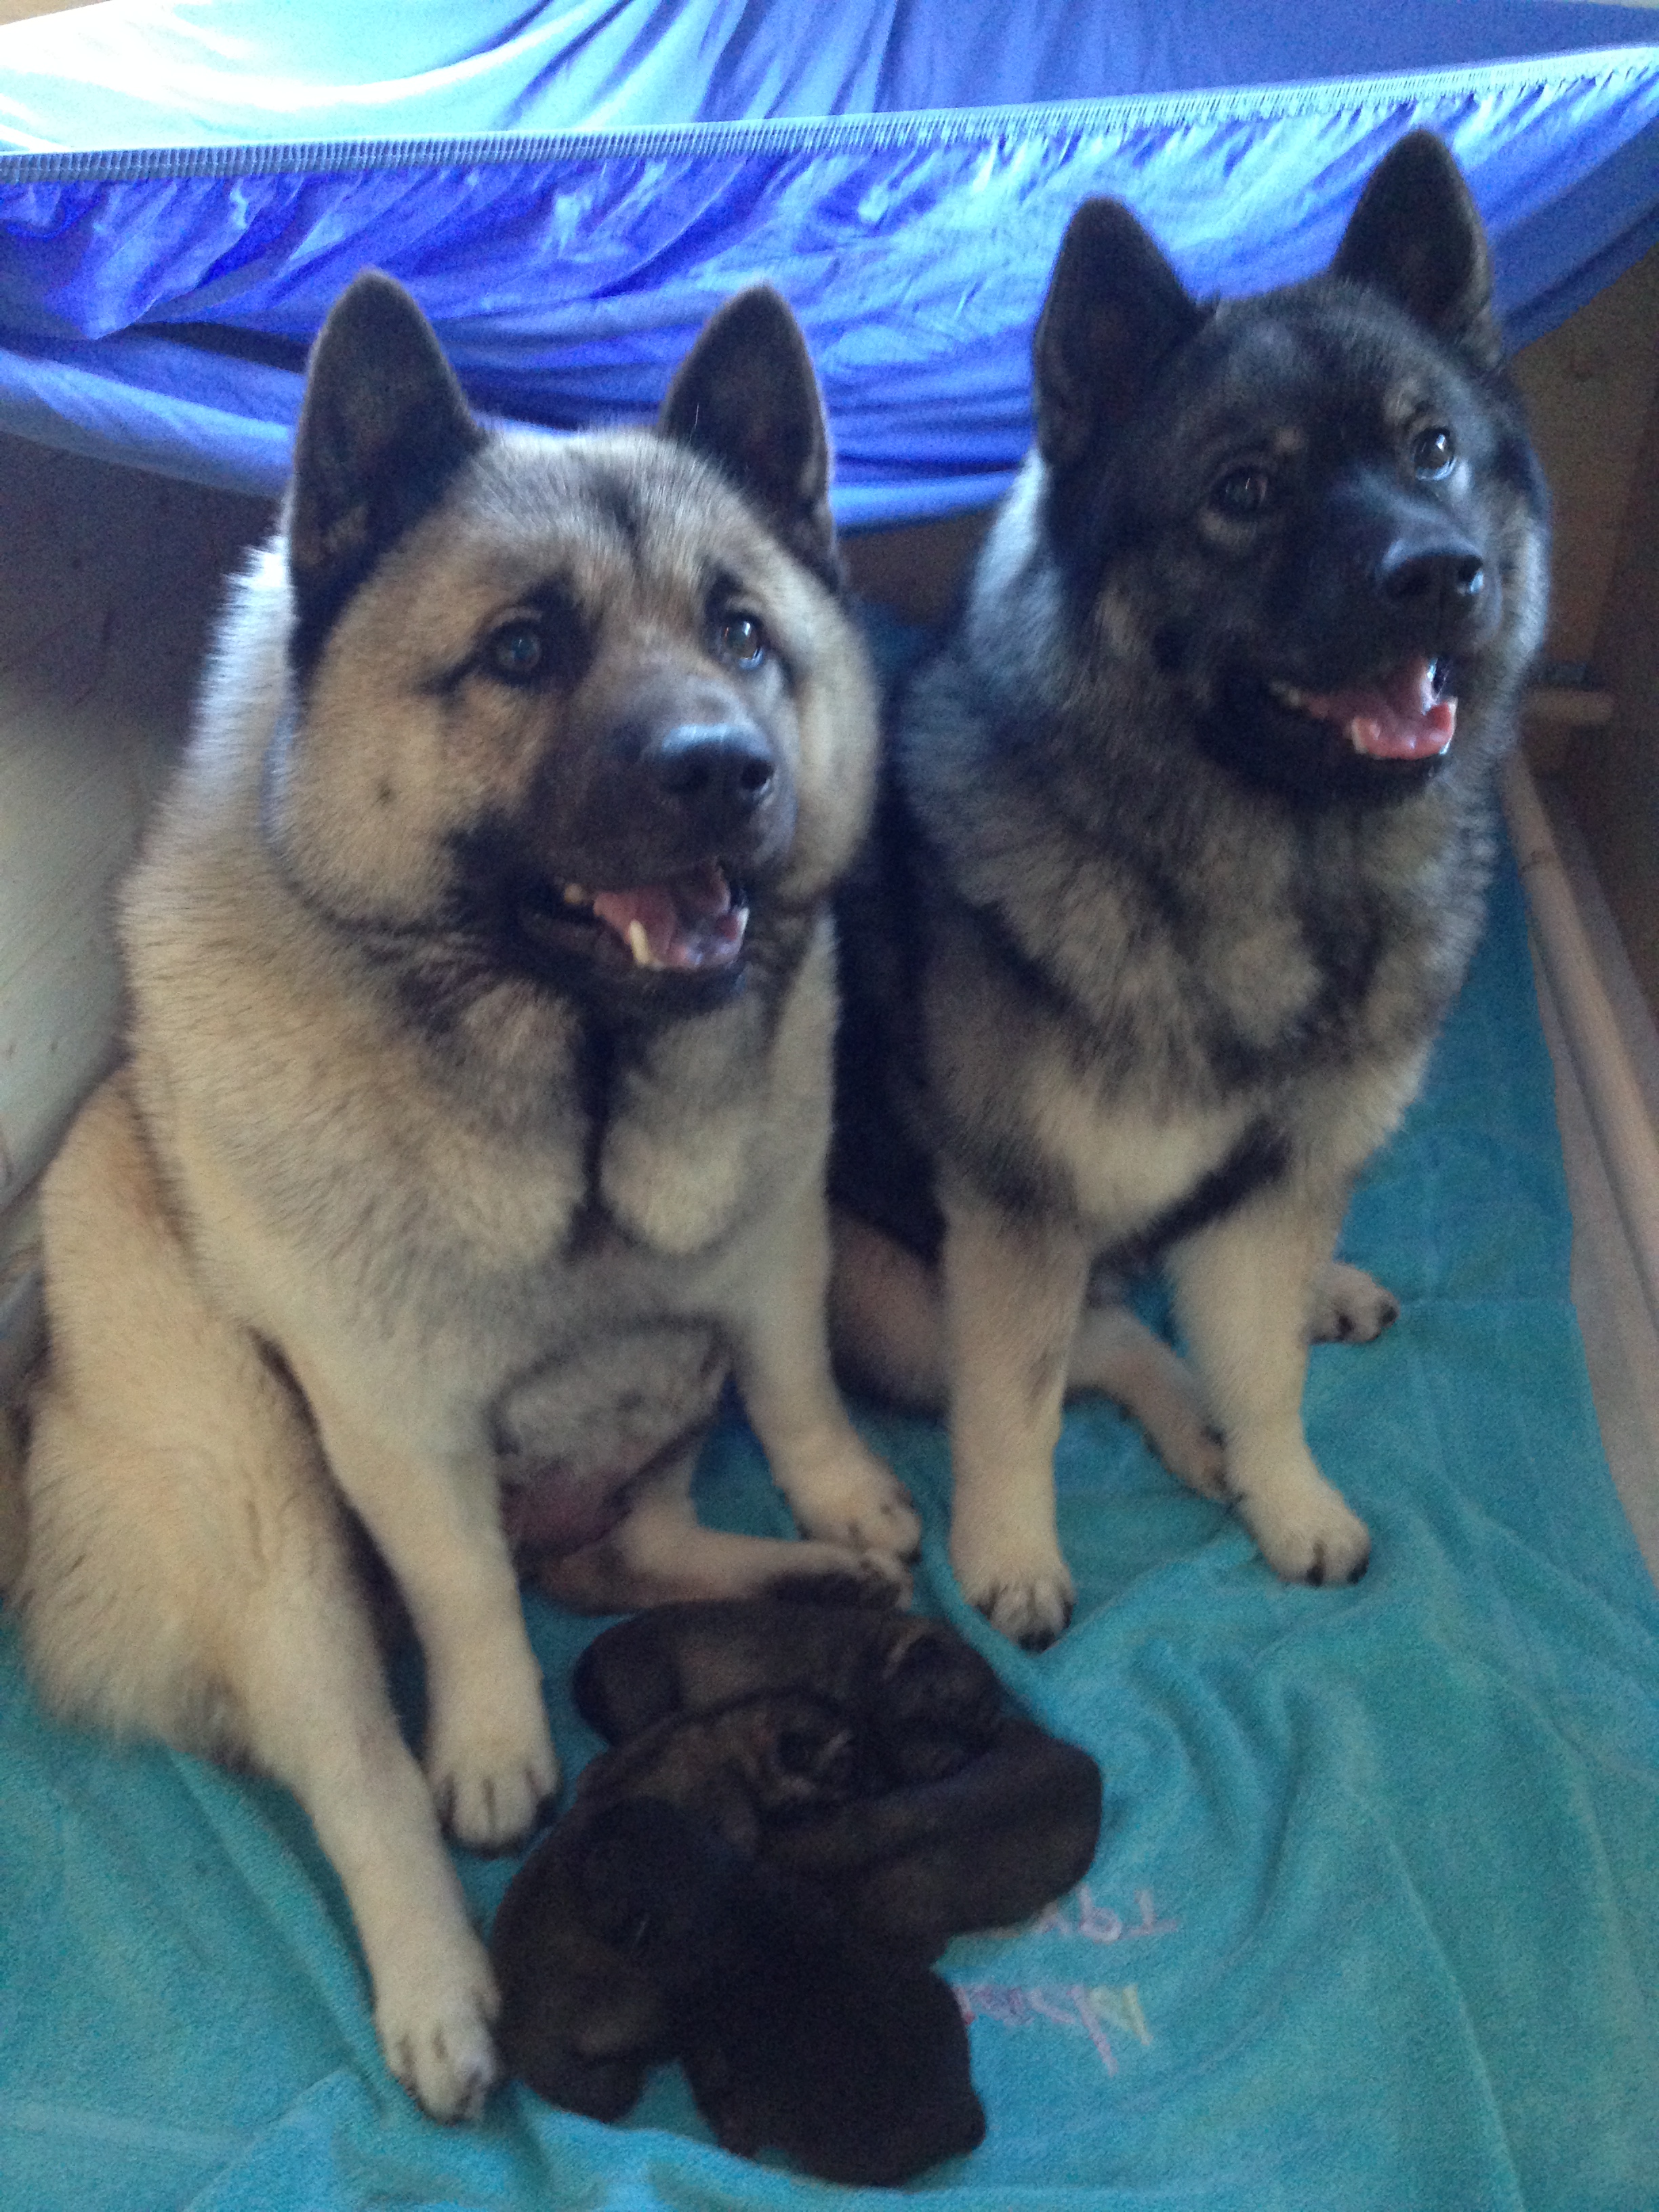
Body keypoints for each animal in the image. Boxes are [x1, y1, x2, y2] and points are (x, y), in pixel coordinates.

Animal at [16, 272, 923, 2118]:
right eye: (520, 651)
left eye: (742, 634)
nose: (721, 768)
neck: (572, 1078)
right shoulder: (393, 1423)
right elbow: (468, 1603)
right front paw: (499, 1742)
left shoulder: (768, 1260)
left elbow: (799, 1390)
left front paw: (846, 1498)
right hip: (269, 1508)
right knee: (365, 1758)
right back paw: (439, 1987)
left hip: (647, 1435)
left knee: (639, 1552)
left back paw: (799, 1581)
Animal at [830, 131, 1549, 1647]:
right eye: (1244, 491)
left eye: (1431, 447)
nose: (1439, 573)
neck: (1286, 873)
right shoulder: (1018, 1223)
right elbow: (1019, 1405)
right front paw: (1011, 1554)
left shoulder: (1276, 1187)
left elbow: (1266, 1373)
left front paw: (1288, 1497)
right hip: (883, 1294)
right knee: (1101, 1338)